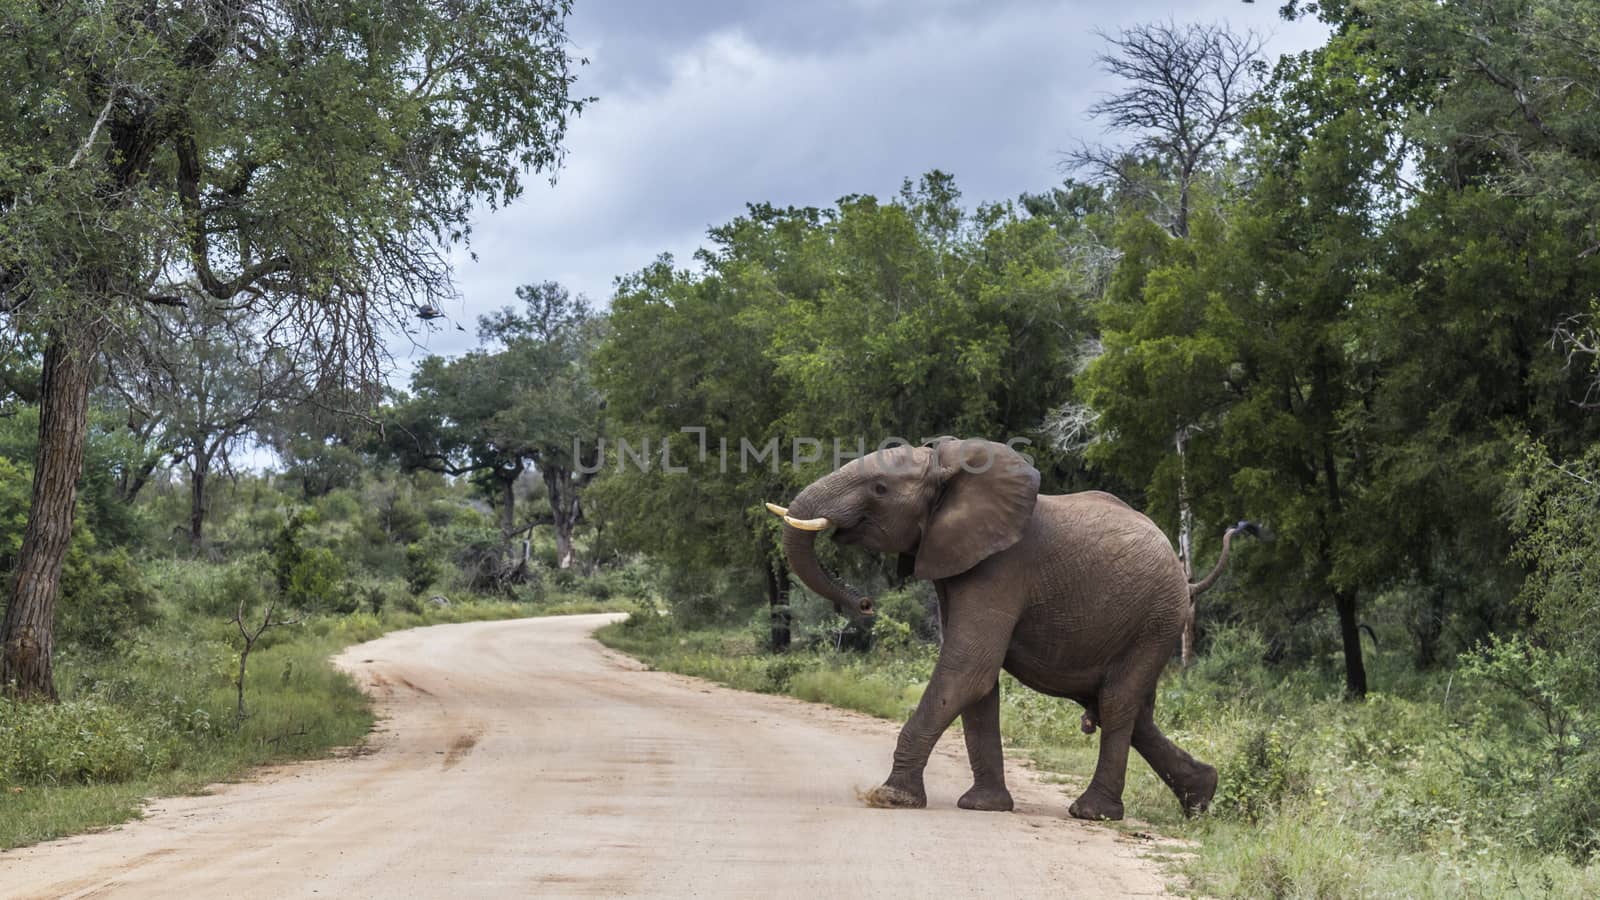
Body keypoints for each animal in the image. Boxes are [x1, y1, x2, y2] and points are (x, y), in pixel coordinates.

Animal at [768, 438, 1241, 816]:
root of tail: (1185, 577)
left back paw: (1093, 813)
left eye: (880, 488)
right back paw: (1200, 799)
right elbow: (978, 684)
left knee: (1117, 703)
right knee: (1124, 709)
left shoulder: (1000, 569)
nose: (865, 604)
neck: (950, 470)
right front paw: (983, 806)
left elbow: (968, 670)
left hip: (1156, 619)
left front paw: (890, 798)